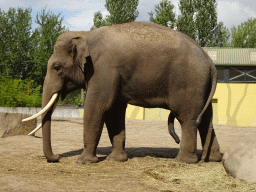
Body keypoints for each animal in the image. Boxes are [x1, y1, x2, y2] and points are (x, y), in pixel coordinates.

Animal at [23, 21, 222, 164]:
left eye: (57, 68)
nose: (56, 157)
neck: (85, 34)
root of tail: (209, 59)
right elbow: (114, 112)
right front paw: (116, 160)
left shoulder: (103, 69)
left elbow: (97, 107)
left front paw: (84, 162)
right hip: (201, 85)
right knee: (206, 120)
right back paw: (212, 159)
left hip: (189, 82)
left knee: (188, 119)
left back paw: (183, 161)